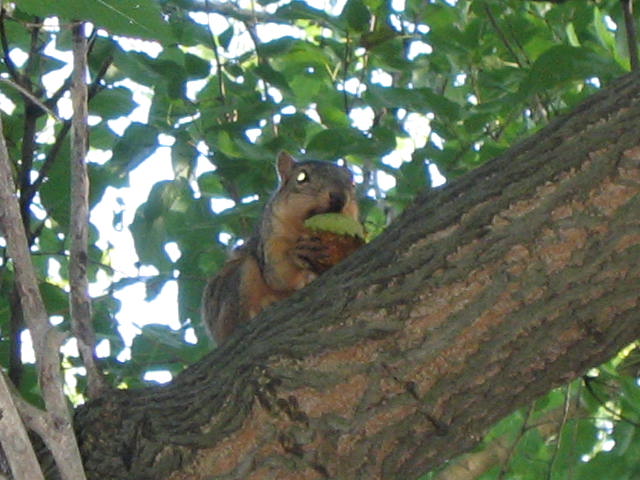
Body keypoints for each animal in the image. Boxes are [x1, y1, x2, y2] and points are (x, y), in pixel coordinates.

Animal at [201, 151, 360, 345]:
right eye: (301, 177)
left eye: (353, 184)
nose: (339, 197)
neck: (304, 228)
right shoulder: (272, 238)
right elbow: (278, 275)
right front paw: (298, 261)